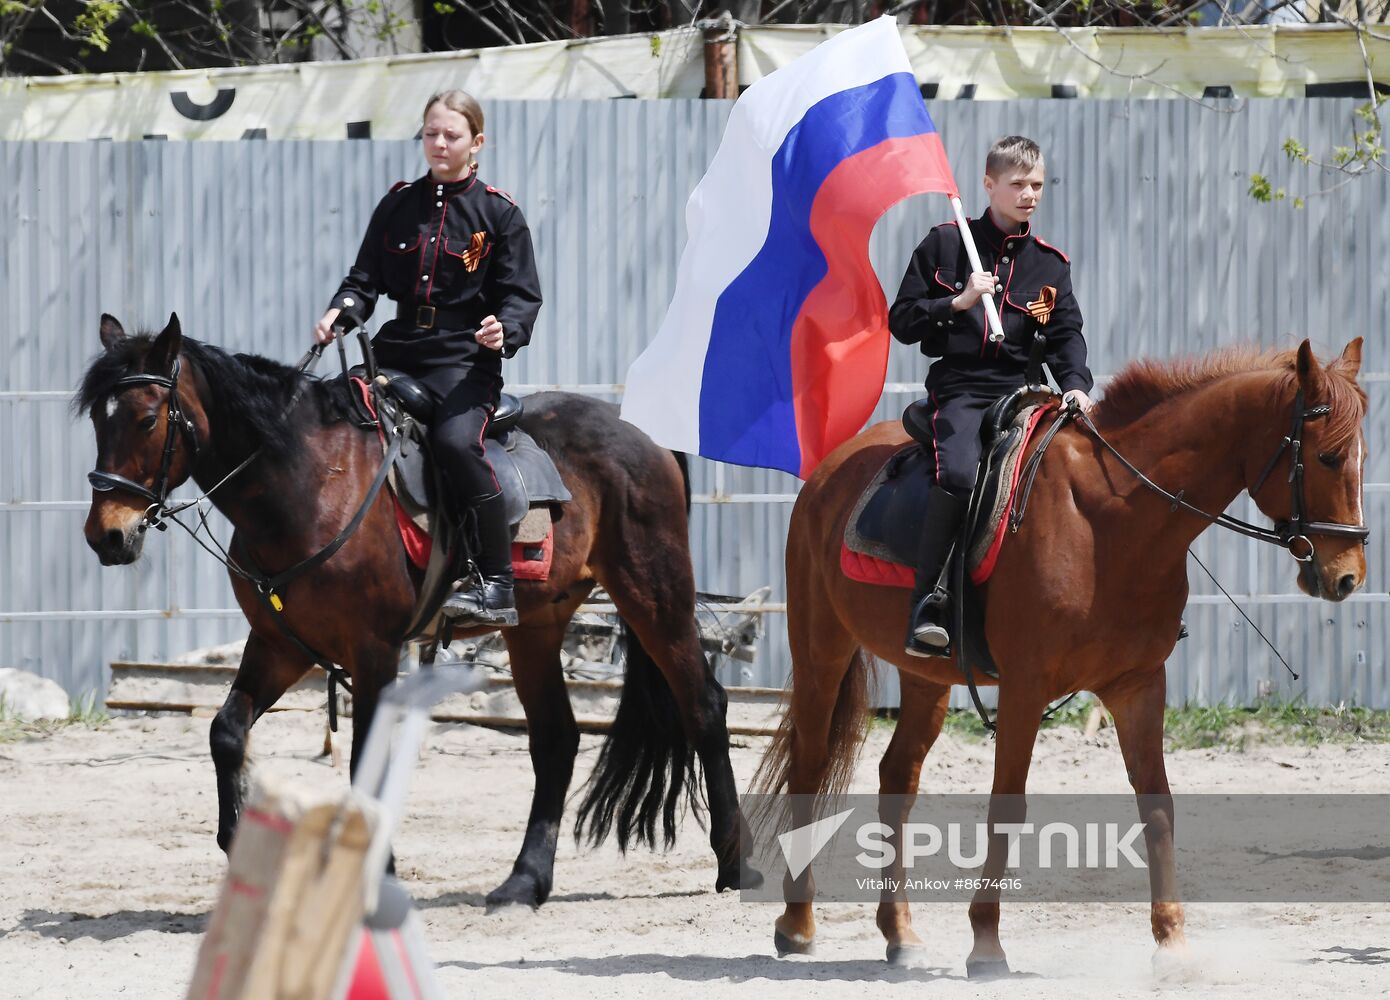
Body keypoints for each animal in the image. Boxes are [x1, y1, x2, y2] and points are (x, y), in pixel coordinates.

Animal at [81, 317, 756, 912]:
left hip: (653, 593)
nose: (106, 537)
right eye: (95, 419)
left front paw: (375, 872)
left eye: (146, 418)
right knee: (556, 739)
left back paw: (737, 863)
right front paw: (235, 838)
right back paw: (524, 883)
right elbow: (225, 731)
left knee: (703, 705)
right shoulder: (281, 645)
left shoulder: (373, 651)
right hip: (538, 626)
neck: (308, 483)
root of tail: (641, 431)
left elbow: (362, 759)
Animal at [761, 340, 1367, 973]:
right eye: (1327, 458)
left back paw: (899, 934)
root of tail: (829, 469)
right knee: (809, 766)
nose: (1347, 576)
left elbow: (1157, 807)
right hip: (821, 650)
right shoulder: (1025, 689)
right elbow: (1007, 806)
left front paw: (1172, 944)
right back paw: (797, 924)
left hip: (926, 676)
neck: (1109, 520)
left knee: (897, 780)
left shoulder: (1138, 686)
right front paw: (986, 944)